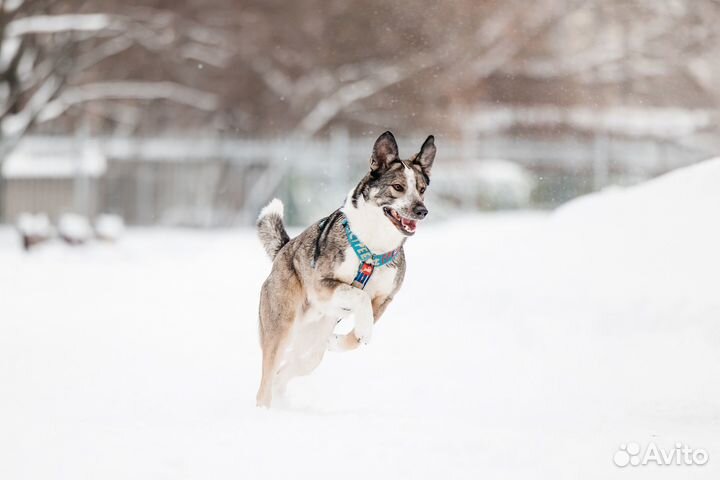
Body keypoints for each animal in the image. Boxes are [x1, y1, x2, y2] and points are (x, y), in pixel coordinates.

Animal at [255, 130, 434, 404]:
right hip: (281, 326)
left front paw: (346, 339)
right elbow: (359, 295)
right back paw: (264, 408)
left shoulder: (385, 298)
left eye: (422, 189)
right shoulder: (322, 284)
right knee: (266, 379)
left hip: (310, 343)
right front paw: (363, 329)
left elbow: (360, 331)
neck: (374, 247)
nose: (421, 211)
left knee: (291, 367)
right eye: (398, 187)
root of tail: (283, 250)